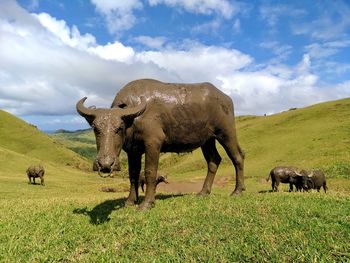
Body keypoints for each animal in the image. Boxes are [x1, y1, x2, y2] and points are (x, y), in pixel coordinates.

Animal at [77, 78, 245, 210]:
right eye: (96, 129)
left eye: (119, 128)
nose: (105, 165)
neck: (134, 118)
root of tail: (225, 98)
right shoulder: (133, 151)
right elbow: (133, 174)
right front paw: (130, 202)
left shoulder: (153, 143)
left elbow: (150, 172)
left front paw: (146, 204)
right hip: (207, 140)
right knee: (213, 161)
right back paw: (203, 192)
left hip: (226, 133)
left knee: (237, 156)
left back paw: (237, 191)